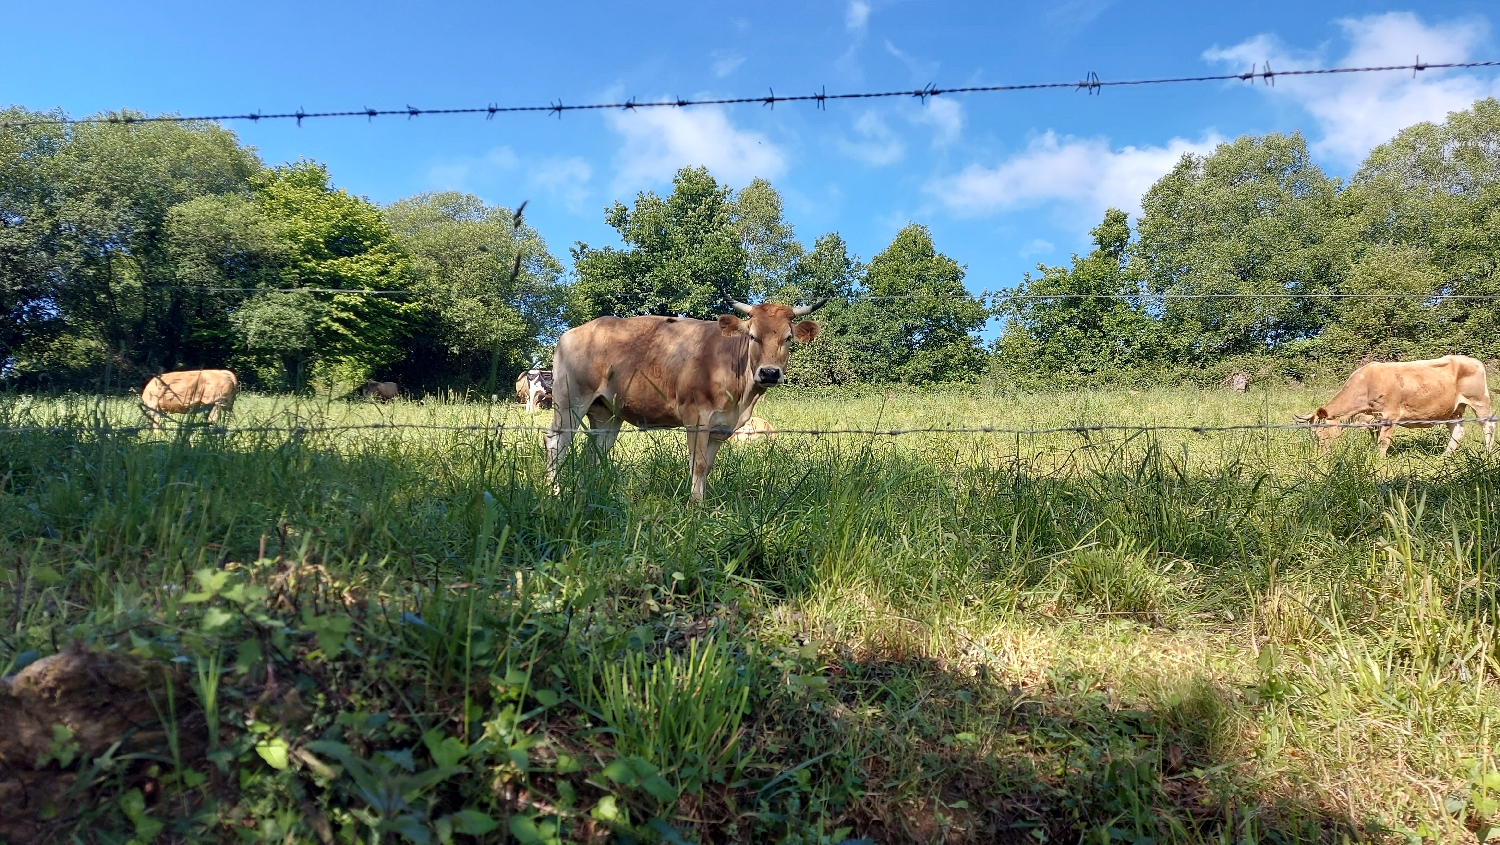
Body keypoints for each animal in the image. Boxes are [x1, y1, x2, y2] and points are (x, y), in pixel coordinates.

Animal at [546, 300, 828, 501]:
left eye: (788, 338)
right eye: (752, 335)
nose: (769, 373)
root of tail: (574, 332)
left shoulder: (720, 427)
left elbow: (708, 466)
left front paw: (702, 503)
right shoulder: (697, 417)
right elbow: (698, 464)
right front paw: (694, 507)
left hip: (607, 412)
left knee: (594, 452)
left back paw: (593, 493)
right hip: (570, 401)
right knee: (556, 444)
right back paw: (554, 493)